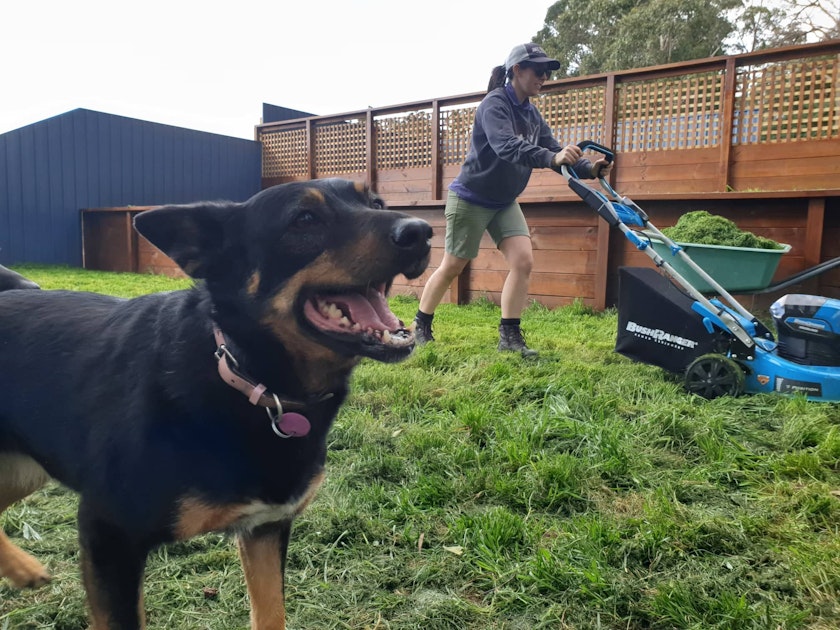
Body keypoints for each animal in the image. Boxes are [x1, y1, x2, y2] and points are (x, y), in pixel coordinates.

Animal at [0, 179, 430, 630]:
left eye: (376, 203)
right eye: (304, 219)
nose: (421, 232)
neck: (245, 375)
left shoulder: (265, 528)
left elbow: (271, 613)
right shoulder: (108, 535)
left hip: (27, 467)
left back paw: (22, 569)